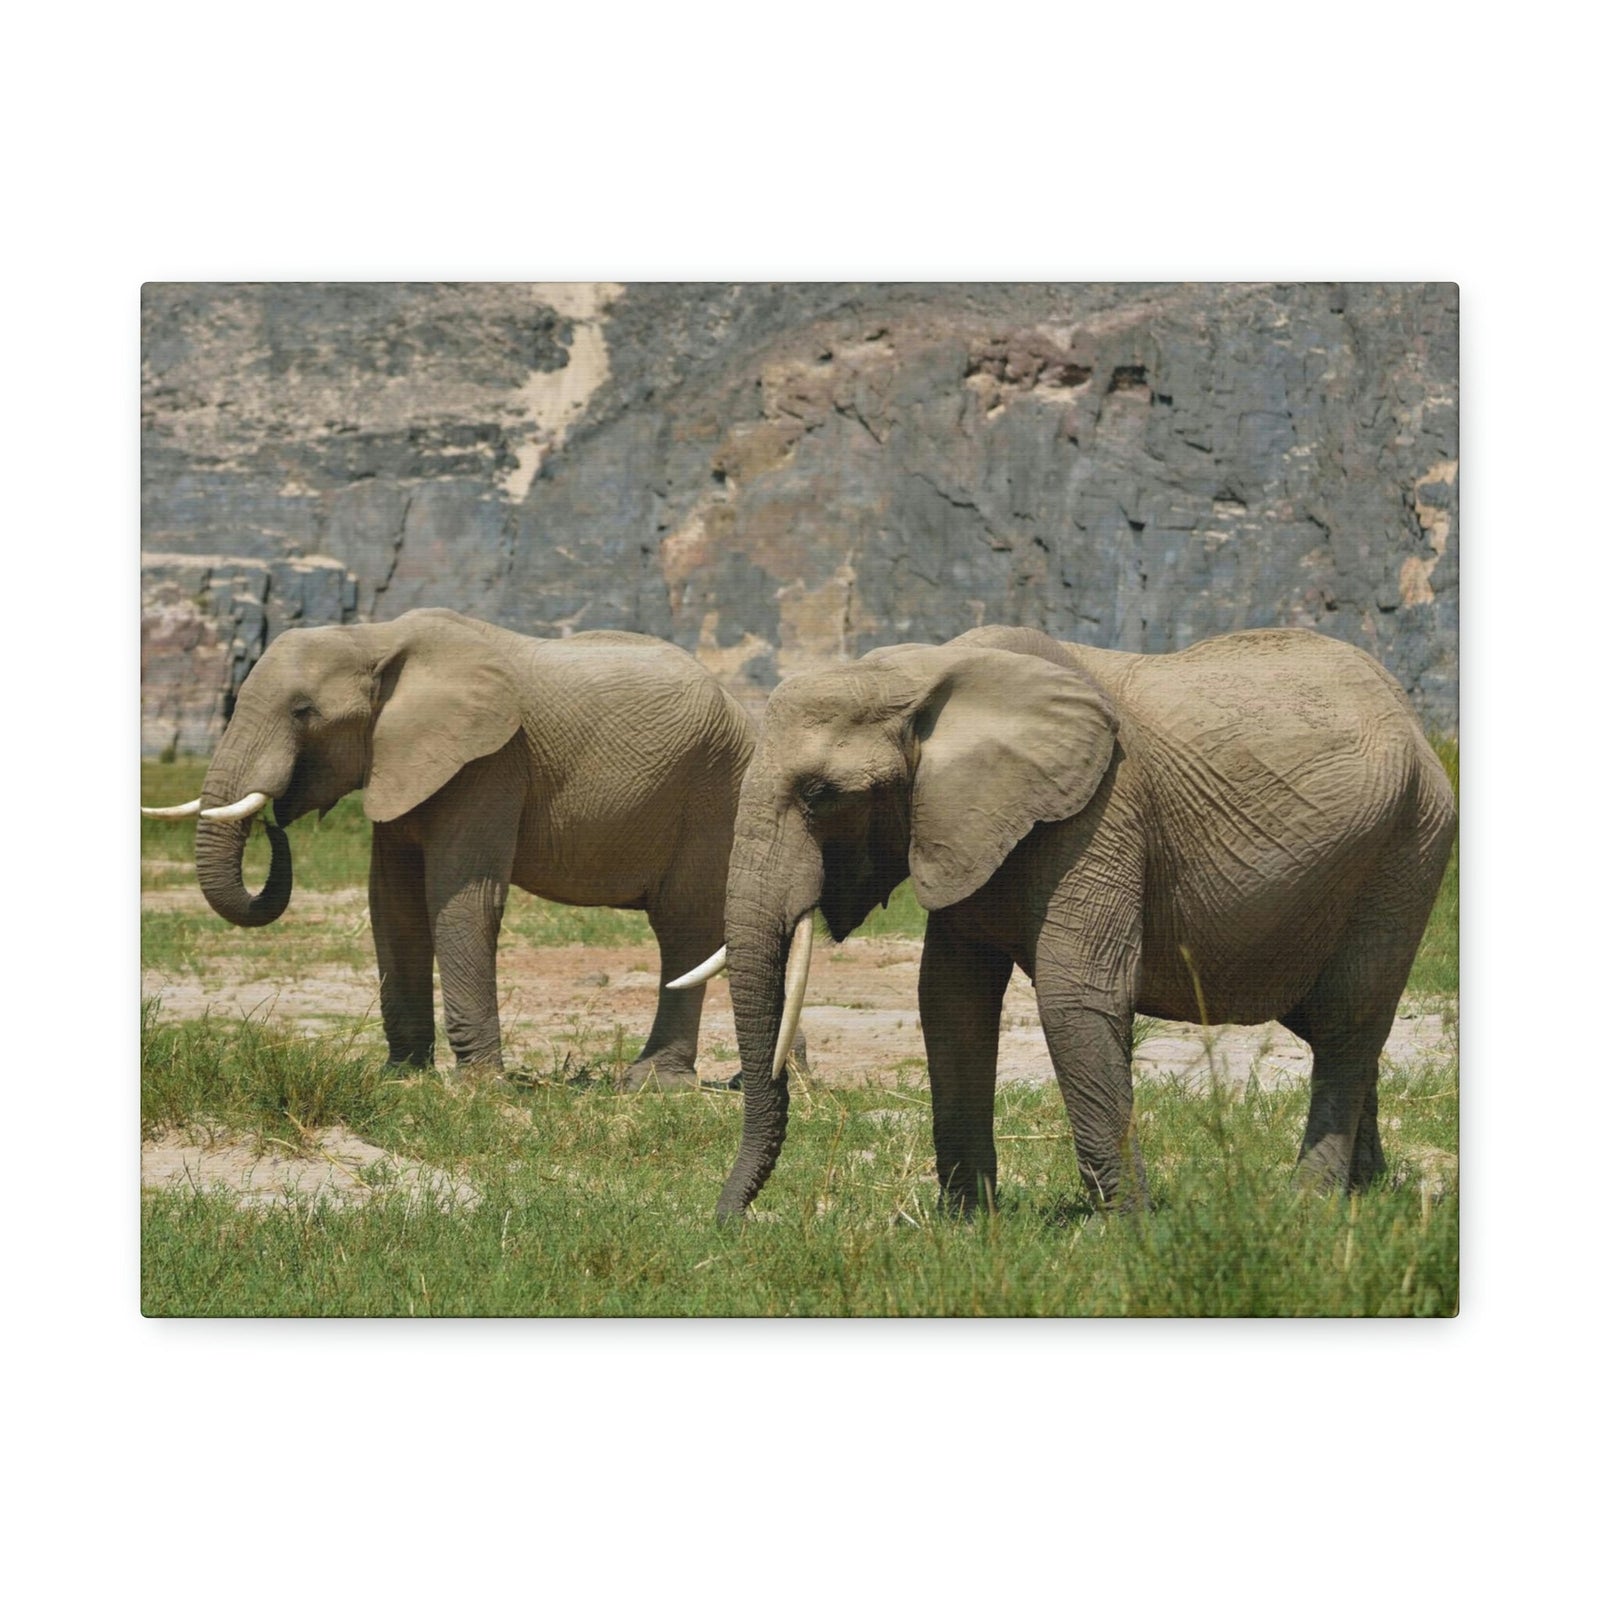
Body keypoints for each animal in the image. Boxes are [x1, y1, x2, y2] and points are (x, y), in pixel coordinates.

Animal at [142, 608, 756, 1089]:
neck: (374, 638)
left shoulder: (491, 761)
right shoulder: (401, 762)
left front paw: (478, 1086)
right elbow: (393, 905)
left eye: (303, 712)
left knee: (682, 928)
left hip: (715, 790)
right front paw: (402, 1076)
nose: (276, 823)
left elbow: (463, 900)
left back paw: (653, 1084)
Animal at [672, 624, 1456, 1219]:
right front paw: (967, 1224)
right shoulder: (963, 824)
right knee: (1332, 1026)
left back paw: (1308, 1206)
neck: (925, 676)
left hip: (1410, 845)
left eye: (819, 795)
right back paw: (1365, 1192)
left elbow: (1074, 996)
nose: (728, 1223)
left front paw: (1132, 1230)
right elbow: (949, 999)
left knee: (1349, 1018)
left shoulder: (1100, 811)